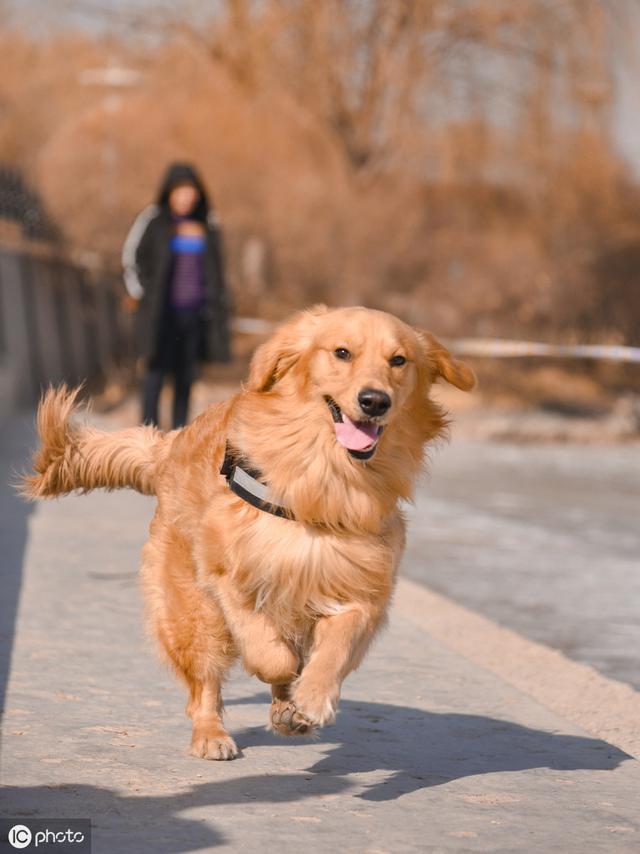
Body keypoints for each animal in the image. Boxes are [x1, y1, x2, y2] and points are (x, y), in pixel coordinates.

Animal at [22, 308, 472, 764]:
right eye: (342, 353)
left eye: (398, 360)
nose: (375, 401)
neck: (326, 479)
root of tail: (170, 445)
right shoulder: (229, 576)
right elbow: (270, 654)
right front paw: (287, 676)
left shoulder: (360, 587)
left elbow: (334, 648)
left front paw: (310, 697)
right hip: (191, 611)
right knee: (203, 685)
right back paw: (212, 734)